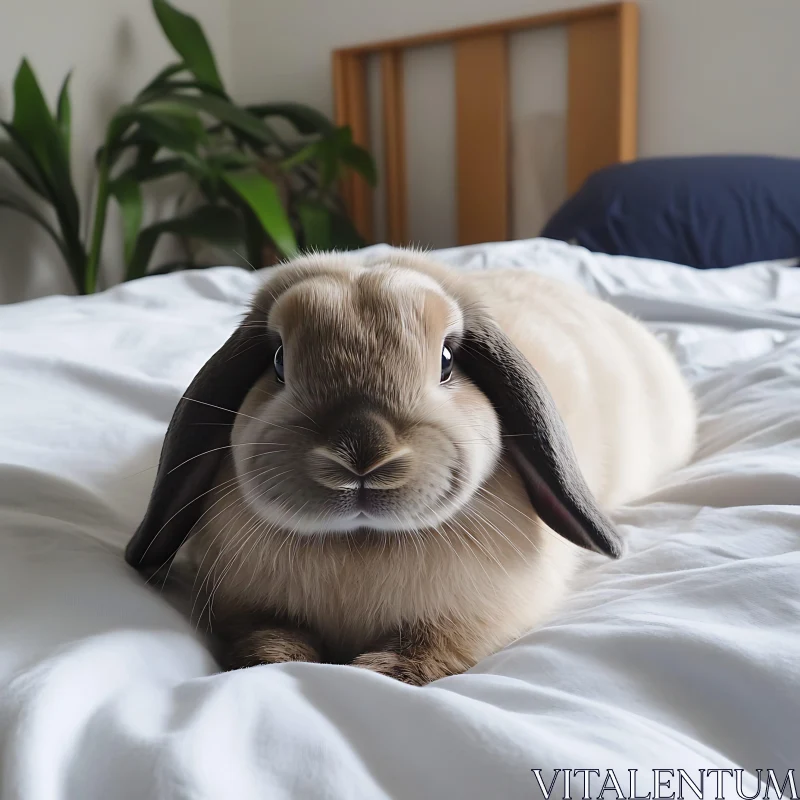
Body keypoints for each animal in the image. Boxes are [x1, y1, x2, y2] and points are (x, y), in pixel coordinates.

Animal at [125, 252, 692, 688]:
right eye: (280, 361)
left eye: (446, 360)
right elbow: (267, 636)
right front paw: (270, 665)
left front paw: (381, 673)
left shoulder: (473, 617)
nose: (361, 452)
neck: (359, 544)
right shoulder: (246, 607)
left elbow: (433, 647)